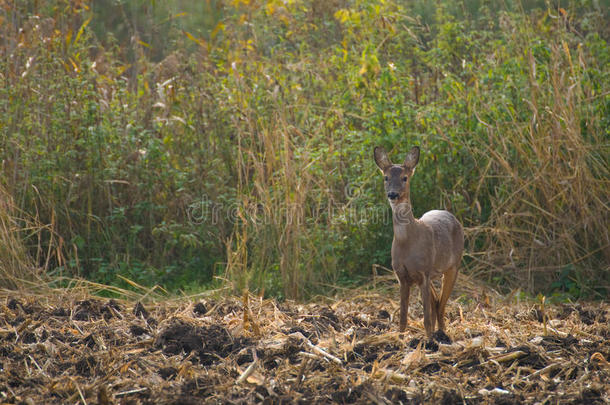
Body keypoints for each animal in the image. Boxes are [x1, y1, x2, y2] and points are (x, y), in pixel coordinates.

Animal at [372, 145, 464, 338]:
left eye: (404, 177)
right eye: (386, 177)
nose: (393, 194)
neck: (408, 243)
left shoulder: (424, 272)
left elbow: (426, 319)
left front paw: (429, 340)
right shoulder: (402, 275)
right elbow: (402, 317)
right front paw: (400, 338)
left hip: (453, 266)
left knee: (441, 304)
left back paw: (442, 334)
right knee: (436, 301)